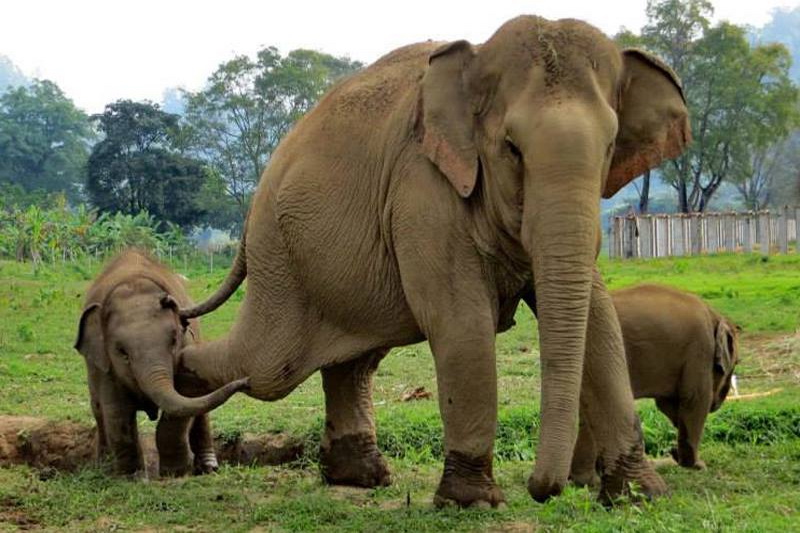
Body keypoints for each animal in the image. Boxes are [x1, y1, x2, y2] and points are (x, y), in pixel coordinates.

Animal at [74, 249, 249, 477]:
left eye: (174, 341)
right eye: (123, 353)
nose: (246, 381)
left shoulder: (187, 344)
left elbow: (184, 401)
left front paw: (175, 473)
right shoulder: (103, 363)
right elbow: (116, 412)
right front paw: (133, 477)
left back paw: (209, 467)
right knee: (98, 410)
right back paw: (102, 467)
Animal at [177, 15, 691, 507]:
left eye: (610, 147)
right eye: (512, 148)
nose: (542, 488)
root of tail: (252, 208)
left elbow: (601, 325)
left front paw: (641, 493)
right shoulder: (421, 191)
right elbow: (462, 323)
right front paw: (473, 501)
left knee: (350, 362)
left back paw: (361, 477)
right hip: (281, 258)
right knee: (267, 366)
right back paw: (177, 367)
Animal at [569, 284, 740, 487]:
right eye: (737, 362)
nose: (718, 403)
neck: (715, 315)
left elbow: (668, 405)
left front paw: (677, 455)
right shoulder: (701, 349)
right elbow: (694, 399)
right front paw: (697, 465)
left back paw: (586, 479)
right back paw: (590, 480)